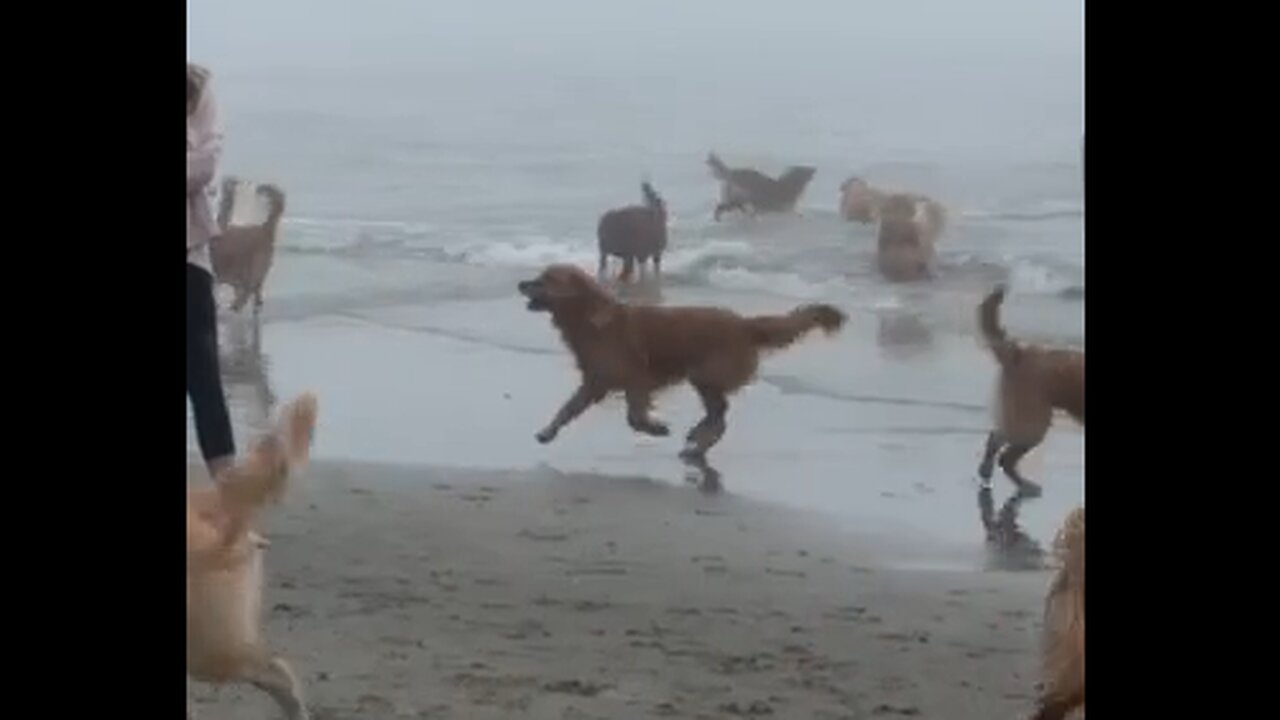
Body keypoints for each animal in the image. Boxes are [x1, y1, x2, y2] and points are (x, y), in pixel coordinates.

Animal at [514, 262, 844, 453]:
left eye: (545, 280)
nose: (520, 283)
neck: (589, 319)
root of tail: (744, 324)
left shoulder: (635, 378)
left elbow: (634, 417)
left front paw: (656, 428)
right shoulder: (596, 381)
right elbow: (567, 409)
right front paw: (548, 432)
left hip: (705, 373)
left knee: (720, 415)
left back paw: (698, 442)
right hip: (705, 377)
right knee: (718, 414)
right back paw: (698, 439)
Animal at [972, 285, 1085, 491]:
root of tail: (1019, 354)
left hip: (1018, 420)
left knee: (995, 439)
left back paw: (987, 472)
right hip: (1033, 425)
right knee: (1006, 458)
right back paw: (1025, 486)